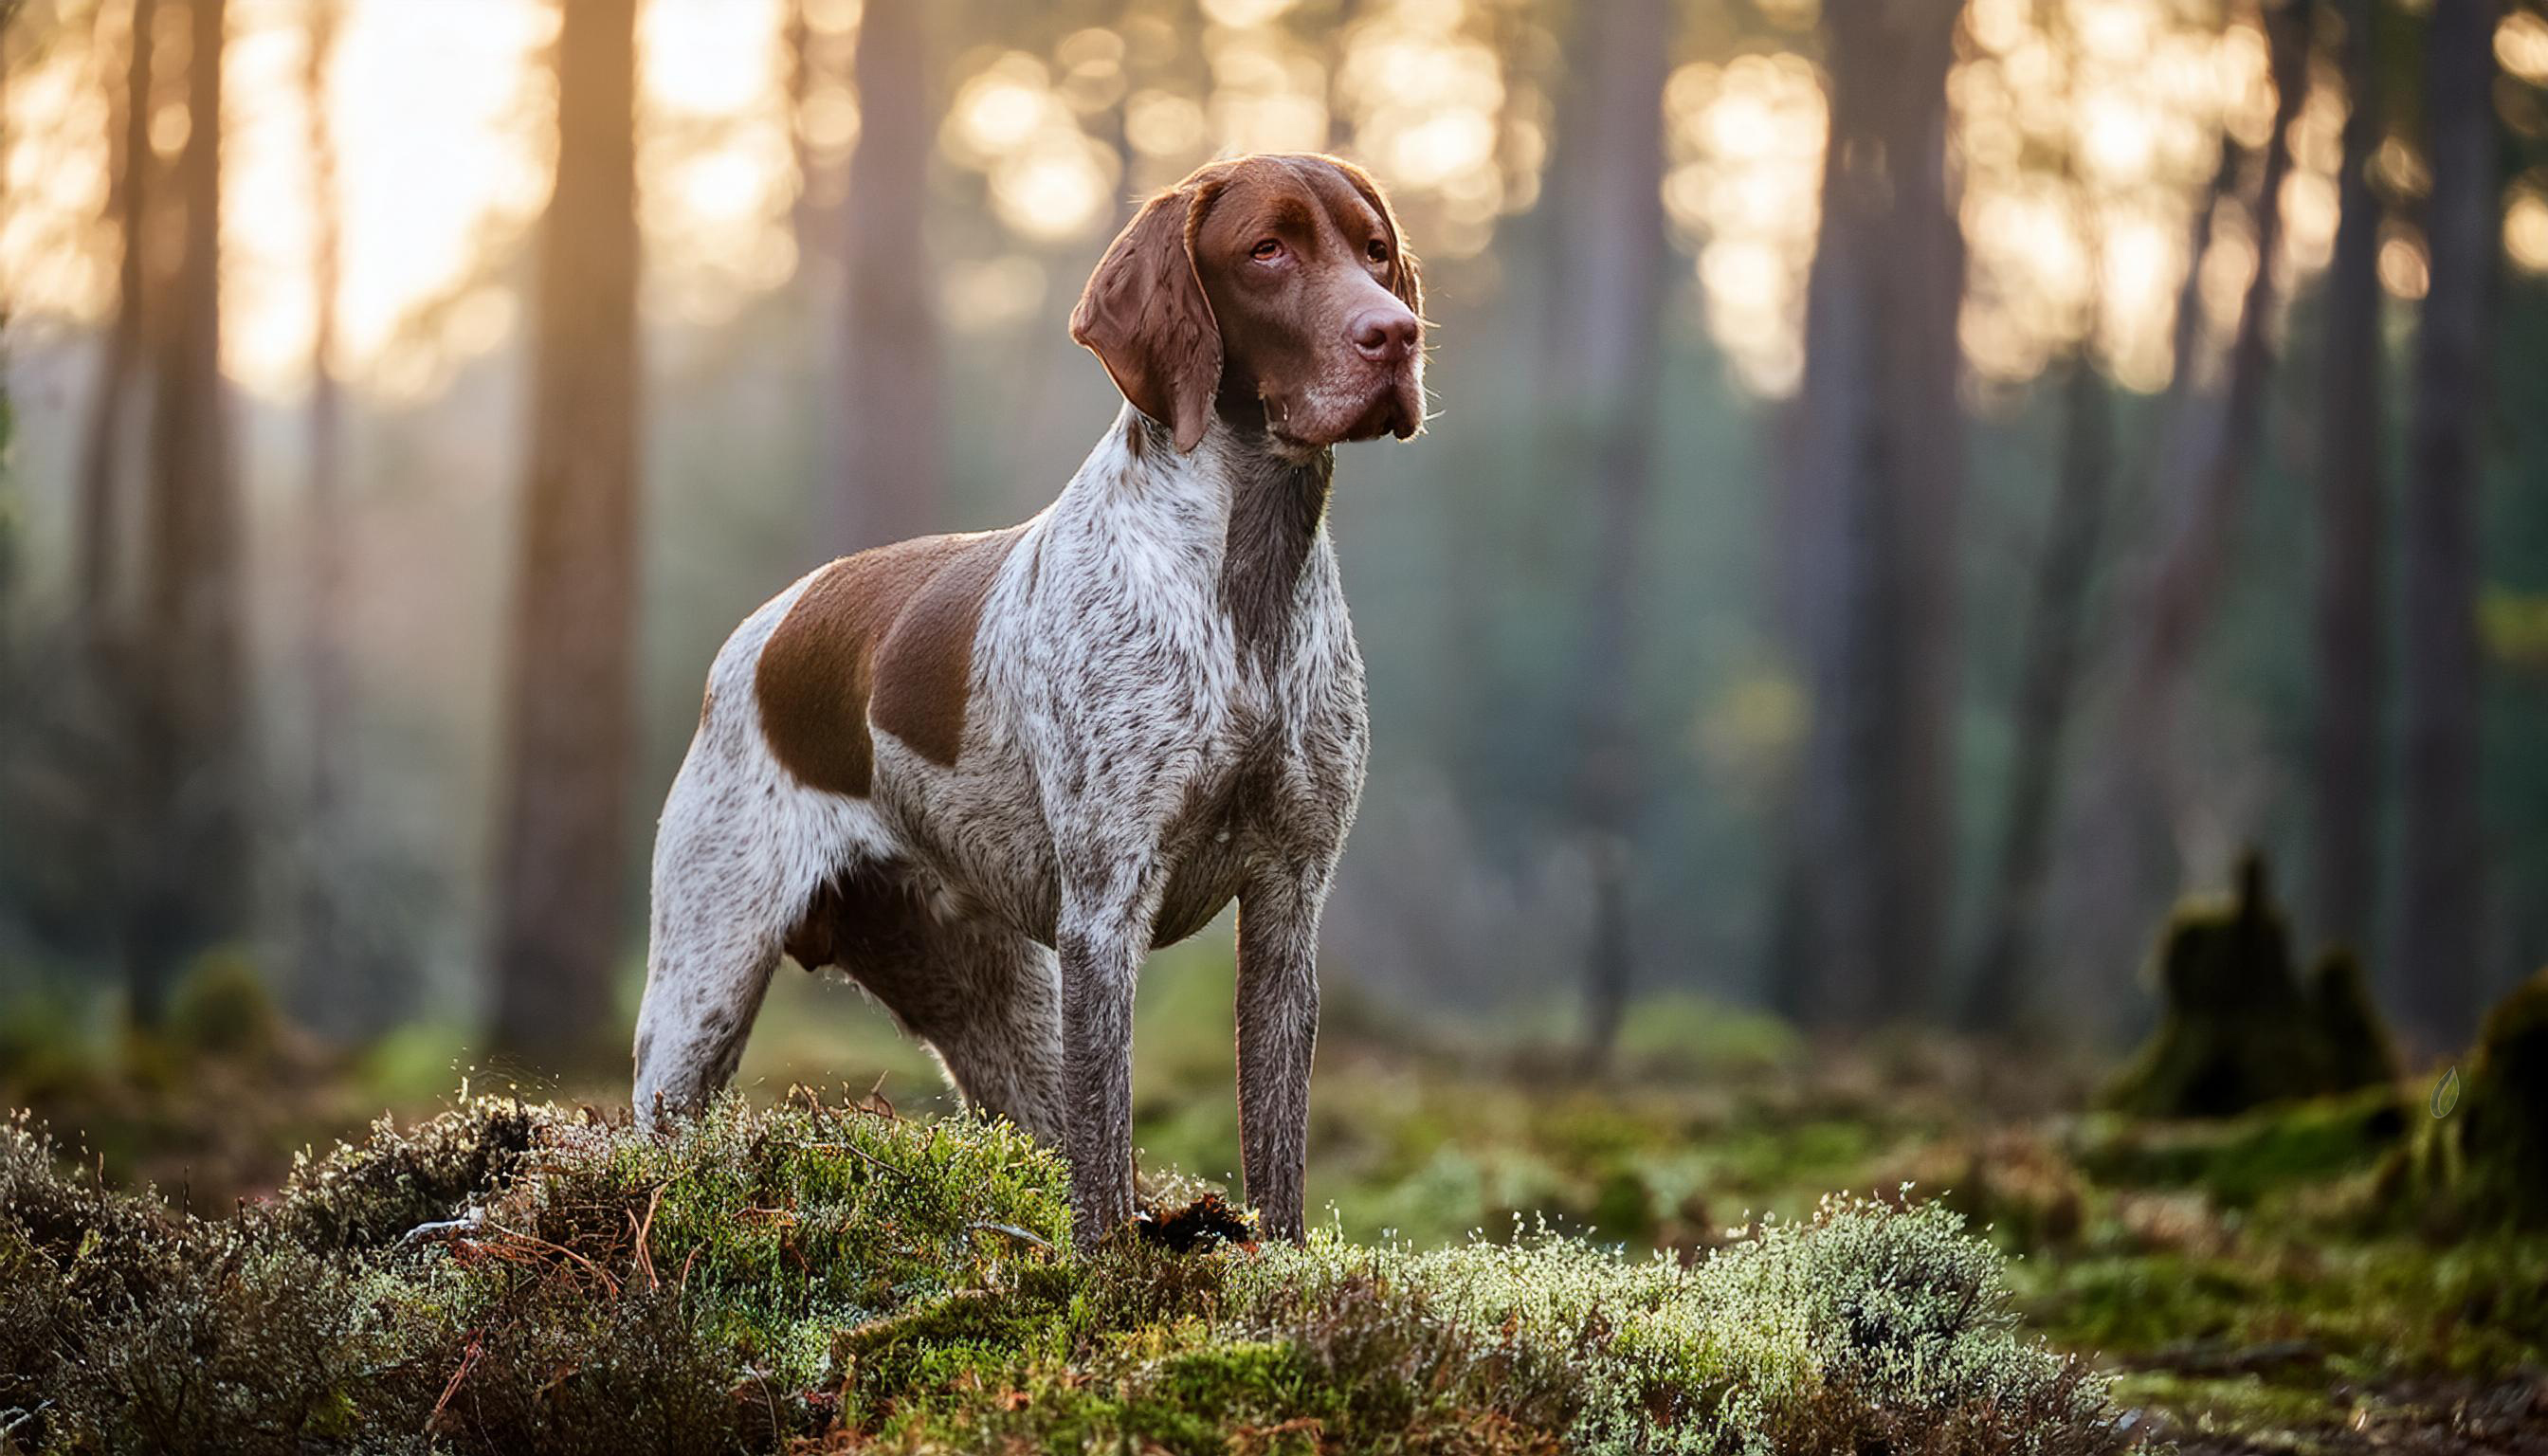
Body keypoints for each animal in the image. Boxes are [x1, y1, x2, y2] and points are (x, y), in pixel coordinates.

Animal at [628, 154, 1427, 1249]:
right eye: (1268, 250)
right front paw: (1109, 1272)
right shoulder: (1106, 910)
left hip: (1002, 1011)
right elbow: (1105, 1165)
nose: (1396, 333)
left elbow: (1278, 1152)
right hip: (700, 996)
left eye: (1376, 250)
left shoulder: (1287, 903)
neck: (1243, 581)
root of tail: (759, 634)